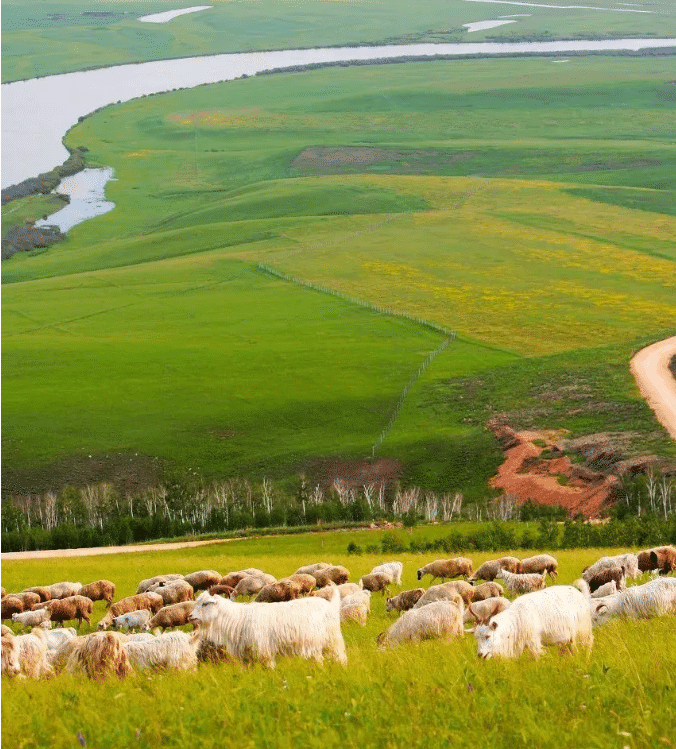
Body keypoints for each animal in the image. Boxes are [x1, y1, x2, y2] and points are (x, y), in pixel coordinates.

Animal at [190, 584, 348, 668]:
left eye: (205, 603)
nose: (190, 617)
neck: (238, 618)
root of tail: (331, 604)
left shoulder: (265, 653)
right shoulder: (246, 659)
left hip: (333, 641)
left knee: (340, 657)